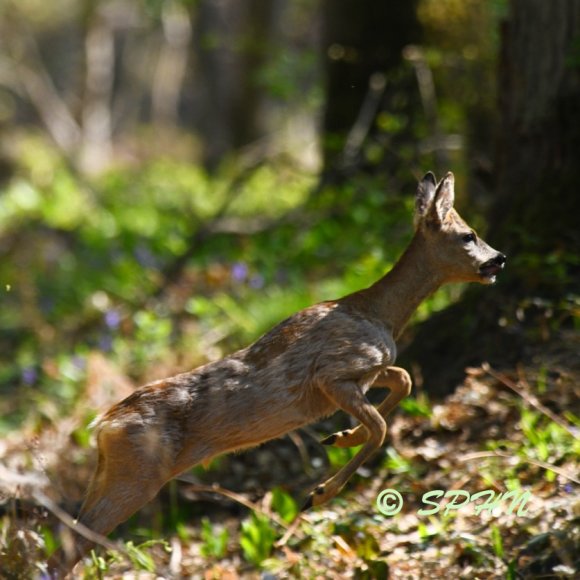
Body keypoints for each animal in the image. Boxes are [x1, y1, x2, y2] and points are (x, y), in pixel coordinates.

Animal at [47, 171, 506, 576]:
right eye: (468, 235)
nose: (500, 258)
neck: (379, 313)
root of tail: (102, 424)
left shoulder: (361, 373)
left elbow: (404, 379)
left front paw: (340, 436)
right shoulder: (332, 372)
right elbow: (379, 426)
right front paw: (318, 492)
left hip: (109, 471)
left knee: (68, 532)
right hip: (138, 473)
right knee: (73, 542)